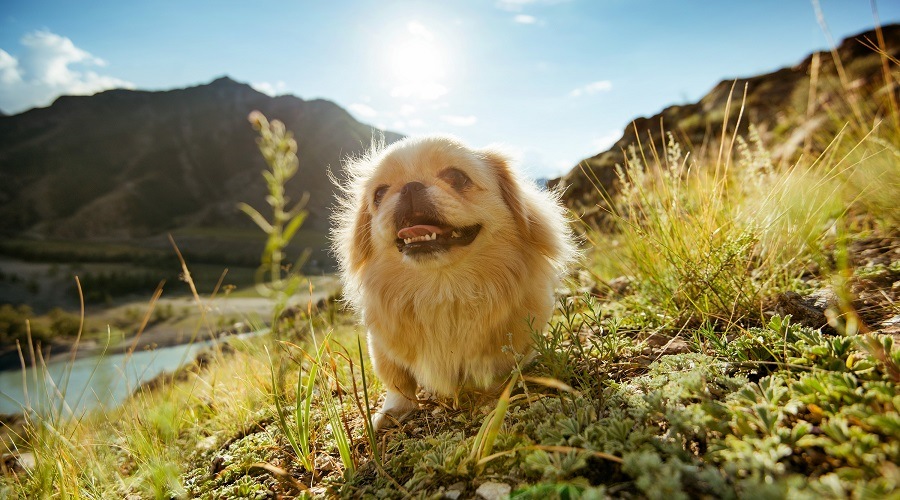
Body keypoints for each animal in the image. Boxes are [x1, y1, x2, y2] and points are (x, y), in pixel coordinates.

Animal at [332, 134, 576, 430]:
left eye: (457, 177)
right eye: (379, 194)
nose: (410, 187)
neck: (443, 287)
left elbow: (498, 371)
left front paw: (491, 398)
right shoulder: (382, 346)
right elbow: (398, 383)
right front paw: (393, 411)